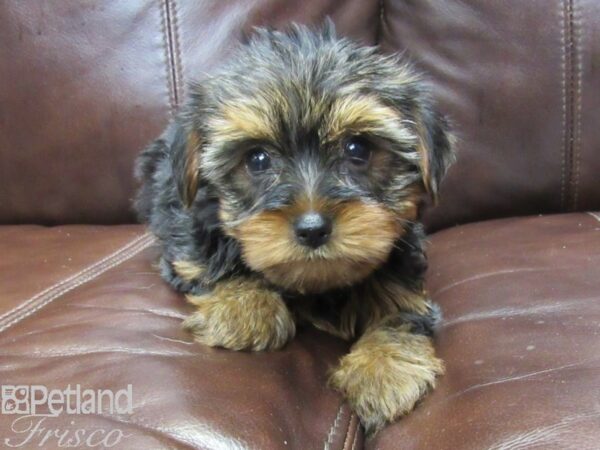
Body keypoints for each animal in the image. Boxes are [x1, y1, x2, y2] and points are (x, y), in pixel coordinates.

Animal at [135, 22, 454, 436]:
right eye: (257, 159)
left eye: (358, 149)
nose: (312, 228)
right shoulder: (185, 246)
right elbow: (211, 267)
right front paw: (244, 309)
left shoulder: (405, 277)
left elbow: (401, 312)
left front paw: (383, 370)